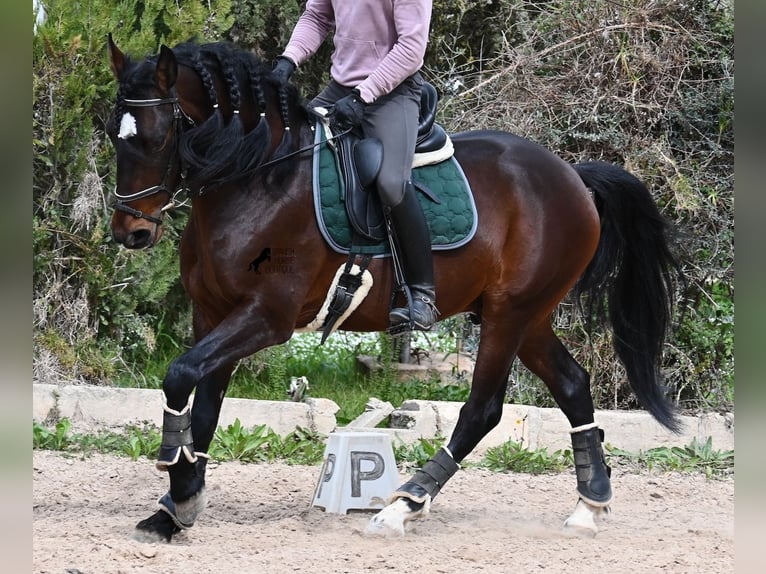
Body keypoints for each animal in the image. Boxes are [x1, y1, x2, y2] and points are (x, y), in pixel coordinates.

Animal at [103, 37, 684, 544]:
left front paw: (179, 485)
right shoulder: (213, 313)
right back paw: (590, 503)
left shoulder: (266, 316)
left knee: (483, 409)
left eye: (157, 138)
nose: (131, 232)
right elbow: (203, 404)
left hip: (509, 314)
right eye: (113, 134)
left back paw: (403, 506)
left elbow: (180, 375)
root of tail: (571, 175)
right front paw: (176, 507)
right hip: (528, 316)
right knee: (572, 385)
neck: (258, 178)